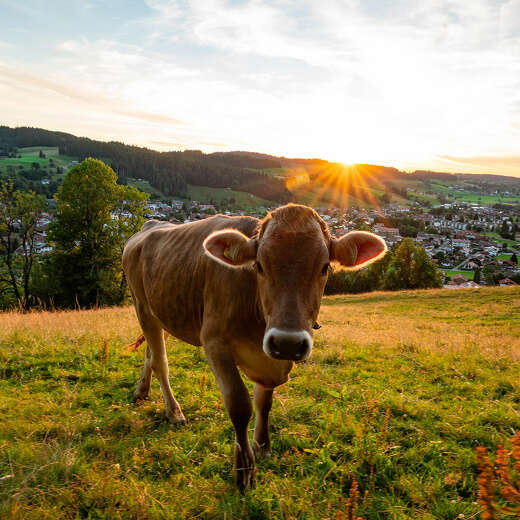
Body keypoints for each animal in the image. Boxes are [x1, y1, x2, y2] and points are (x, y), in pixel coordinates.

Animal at [123, 202, 386, 488]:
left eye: (325, 267)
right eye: (259, 266)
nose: (288, 342)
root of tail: (149, 225)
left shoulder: (270, 358)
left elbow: (264, 402)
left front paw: (262, 446)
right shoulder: (214, 342)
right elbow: (240, 405)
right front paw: (245, 468)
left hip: (162, 310)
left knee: (150, 353)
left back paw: (142, 390)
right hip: (141, 306)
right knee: (161, 361)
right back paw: (173, 411)